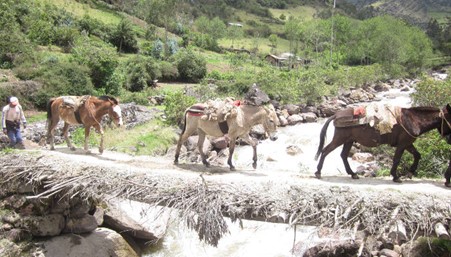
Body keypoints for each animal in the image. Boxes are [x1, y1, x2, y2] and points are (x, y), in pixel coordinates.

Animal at [314, 103, 451, 182]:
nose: (449, 139)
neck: (413, 119)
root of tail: (336, 115)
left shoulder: (408, 143)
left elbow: (417, 155)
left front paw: (410, 173)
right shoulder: (403, 144)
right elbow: (397, 159)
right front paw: (396, 176)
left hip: (349, 140)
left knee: (343, 155)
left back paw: (353, 174)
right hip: (340, 139)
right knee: (325, 151)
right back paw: (318, 172)